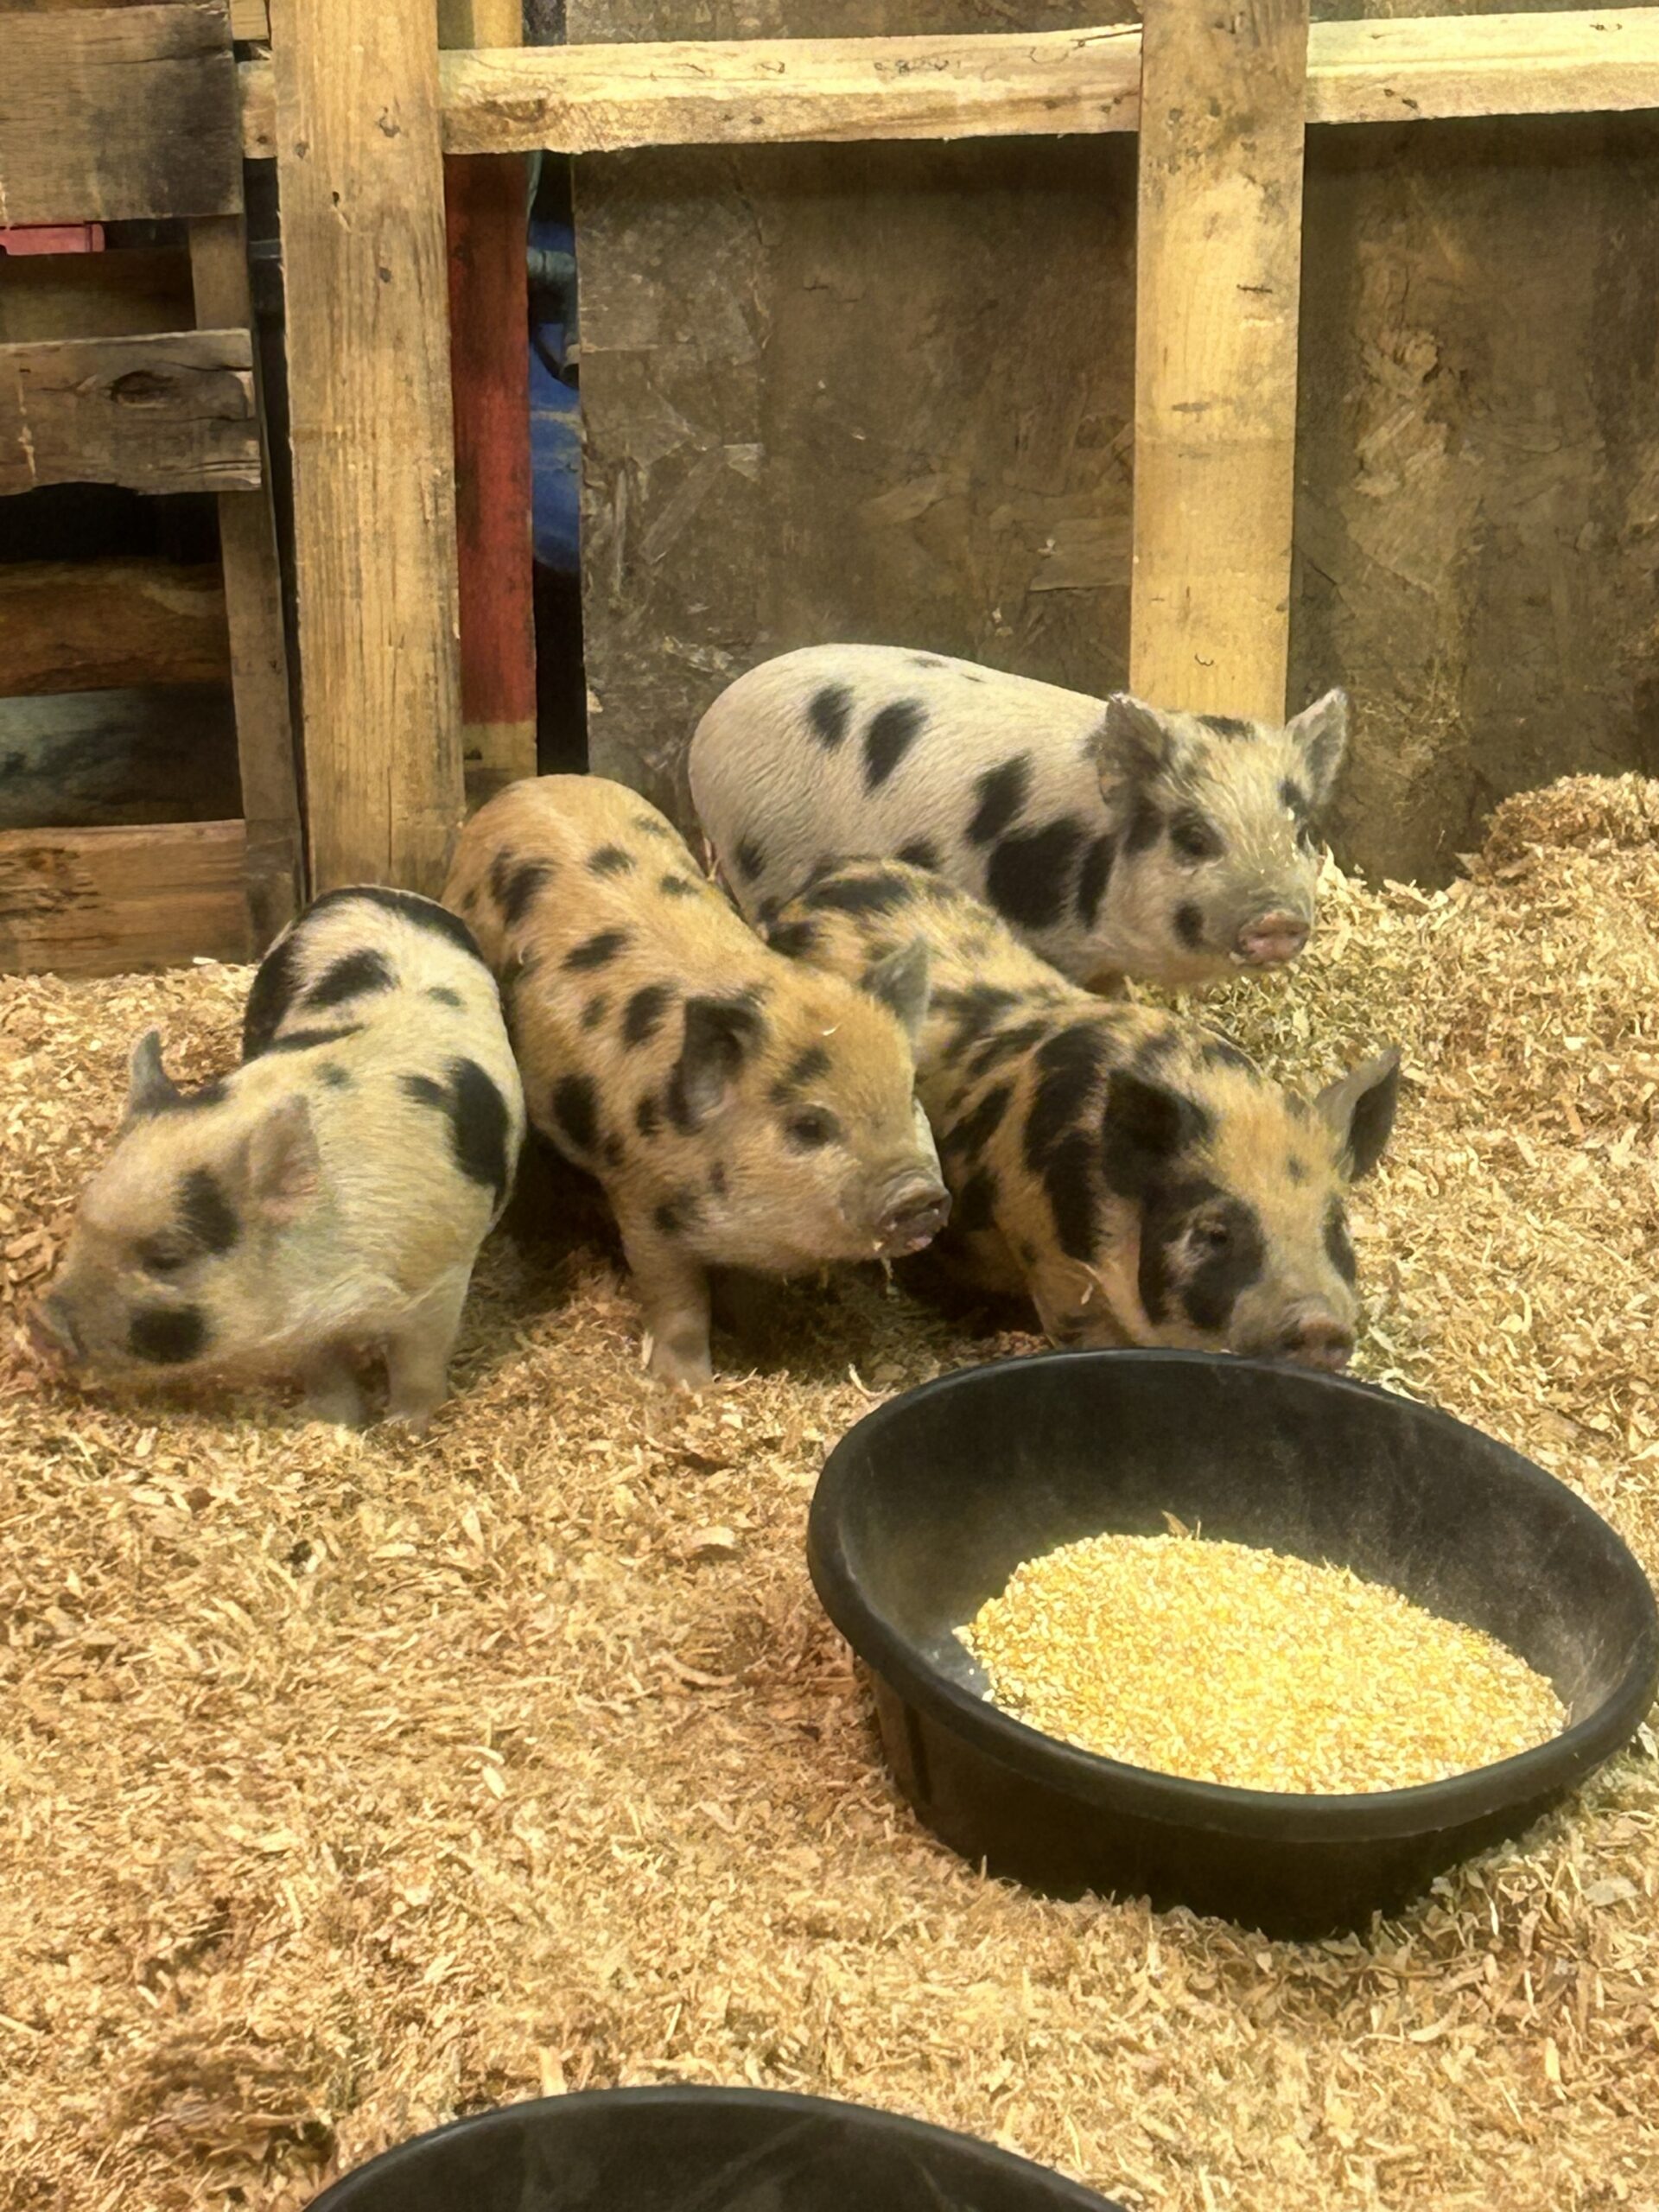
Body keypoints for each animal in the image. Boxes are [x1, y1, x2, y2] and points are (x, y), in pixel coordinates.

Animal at [29, 887, 526, 1431]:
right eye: (80, 1220)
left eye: (168, 1256)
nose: (40, 1325)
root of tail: (374, 890)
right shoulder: (304, 1325)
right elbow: (323, 1368)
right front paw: (335, 1424)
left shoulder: (440, 1275)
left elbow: (419, 1365)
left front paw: (403, 1430)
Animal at [441, 775, 950, 1389]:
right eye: (809, 1125)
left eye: (910, 1095)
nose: (920, 1194)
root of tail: (528, 786)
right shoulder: (640, 1199)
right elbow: (677, 1299)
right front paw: (685, 1388)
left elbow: (748, 1293)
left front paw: (759, 1351)